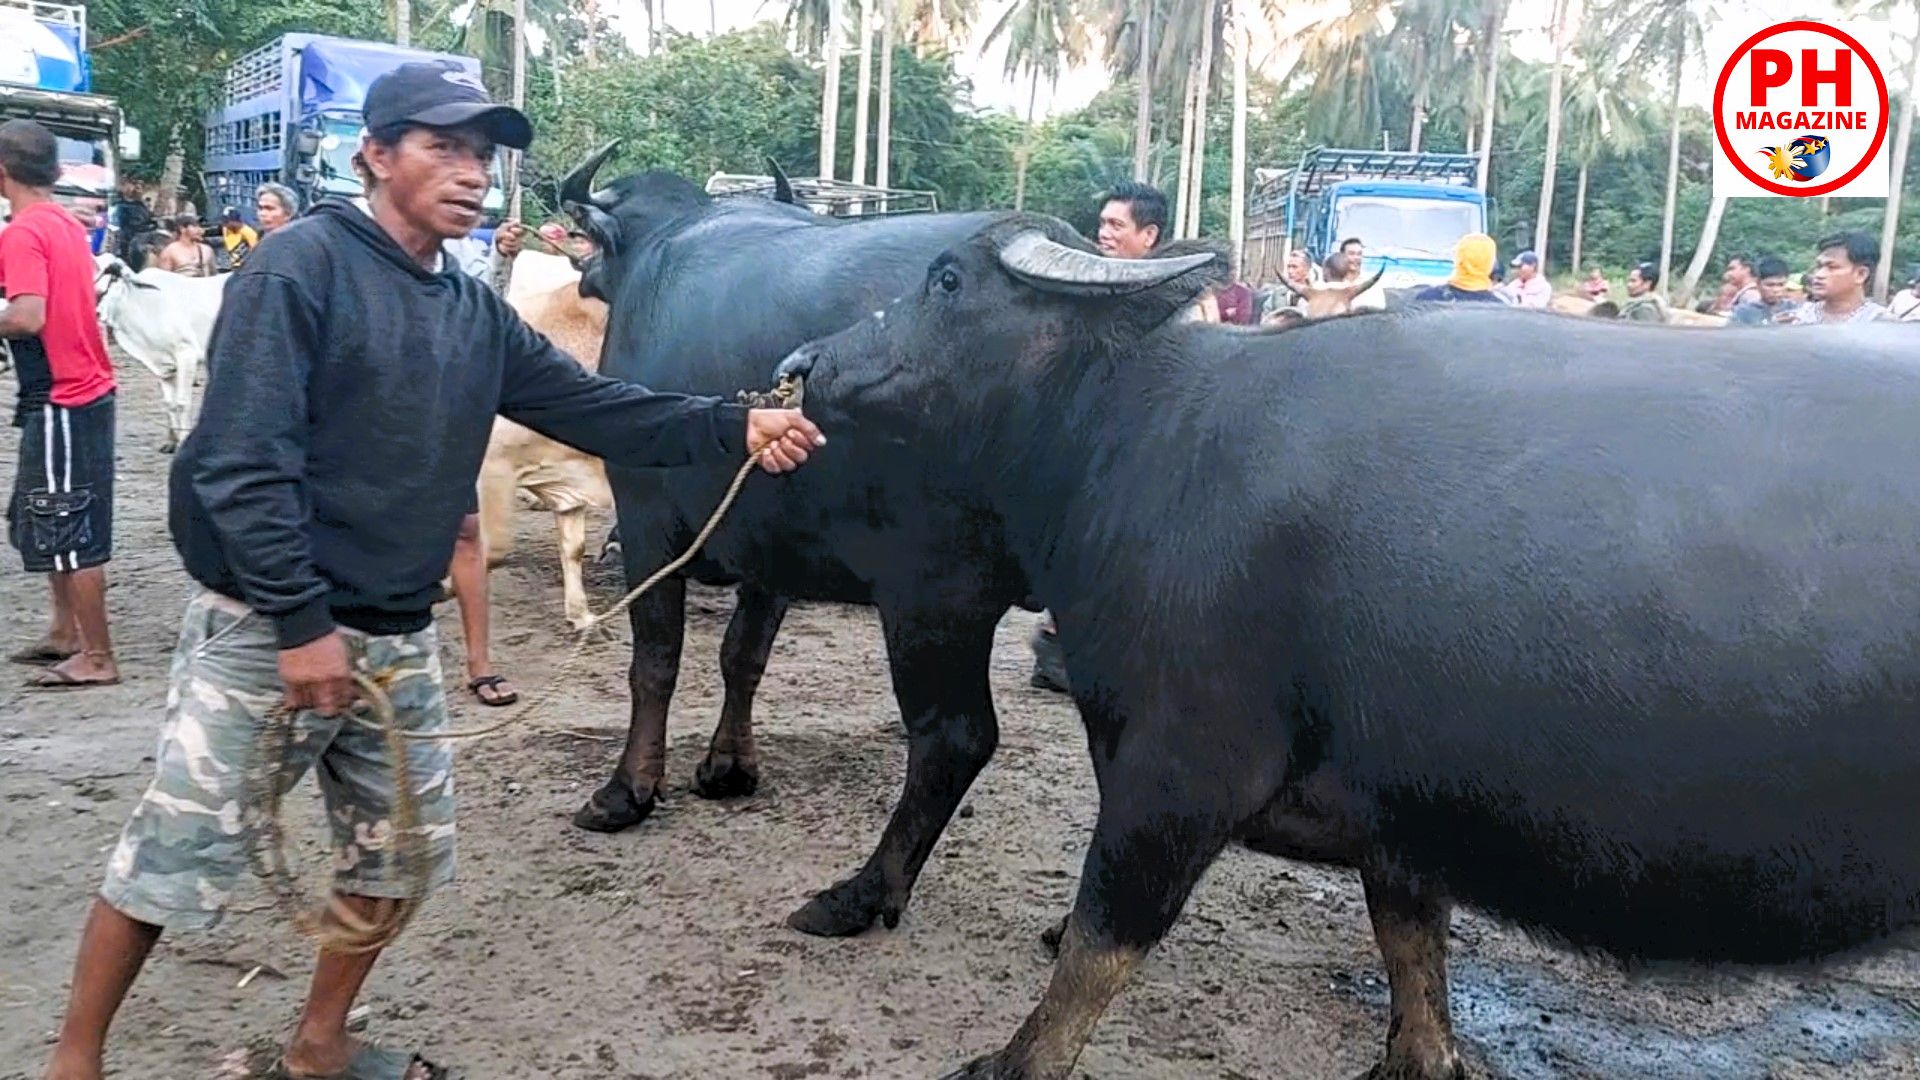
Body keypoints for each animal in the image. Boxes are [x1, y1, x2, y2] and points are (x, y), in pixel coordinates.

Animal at [91, 251, 230, 449]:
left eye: (115, 280)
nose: (97, 313)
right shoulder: (163, 366)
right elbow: (169, 403)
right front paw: (171, 442)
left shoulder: (186, 355)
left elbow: (182, 403)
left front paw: (182, 441)